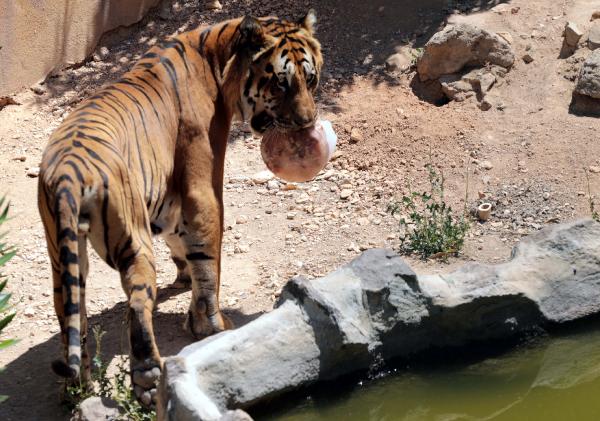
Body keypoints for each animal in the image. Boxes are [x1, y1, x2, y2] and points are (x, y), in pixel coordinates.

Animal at [37, 9, 324, 404]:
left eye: (309, 79)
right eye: (281, 84)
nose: (307, 122)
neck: (218, 55)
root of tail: (67, 174)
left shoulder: (169, 193)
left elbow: (180, 239)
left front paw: (184, 277)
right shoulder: (203, 186)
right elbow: (209, 260)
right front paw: (211, 325)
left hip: (63, 257)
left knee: (69, 314)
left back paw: (77, 388)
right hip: (132, 241)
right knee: (137, 304)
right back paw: (147, 380)